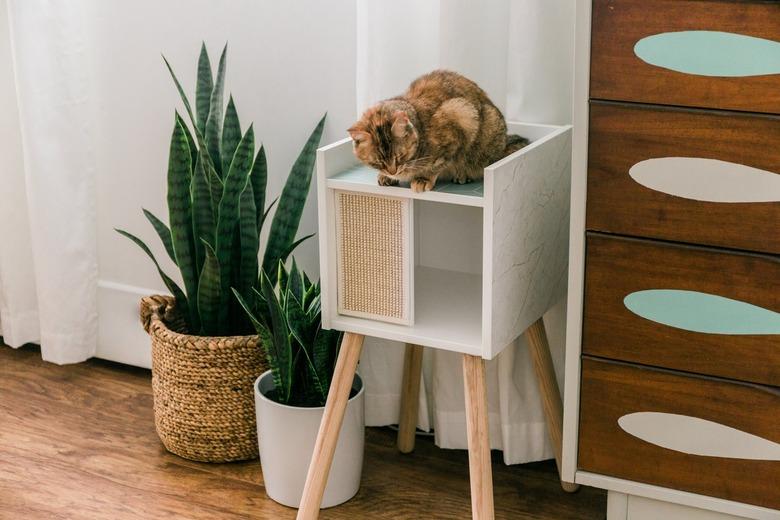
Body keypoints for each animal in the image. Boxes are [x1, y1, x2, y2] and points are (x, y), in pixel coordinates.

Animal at [348, 69, 528, 191]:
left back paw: (462, 175)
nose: (393, 171)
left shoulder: (460, 118)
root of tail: (504, 144)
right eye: (377, 162)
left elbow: (439, 164)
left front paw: (423, 179)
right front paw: (385, 175)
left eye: (400, 156)